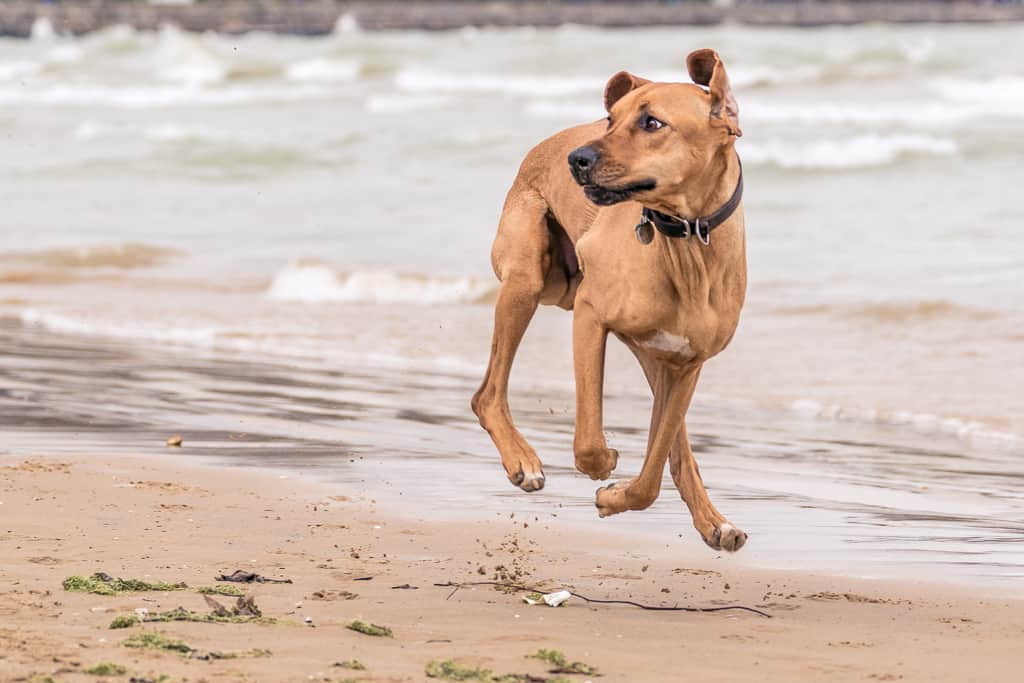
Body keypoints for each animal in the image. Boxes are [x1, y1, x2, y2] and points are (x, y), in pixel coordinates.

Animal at [471, 49, 745, 548]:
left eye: (653, 123)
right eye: (611, 119)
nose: (577, 158)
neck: (686, 243)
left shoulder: (686, 366)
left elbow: (656, 469)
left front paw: (617, 496)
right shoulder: (590, 316)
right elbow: (589, 441)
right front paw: (605, 469)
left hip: (652, 357)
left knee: (679, 453)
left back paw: (716, 522)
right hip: (529, 279)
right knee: (487, 393)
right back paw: (522, 461)